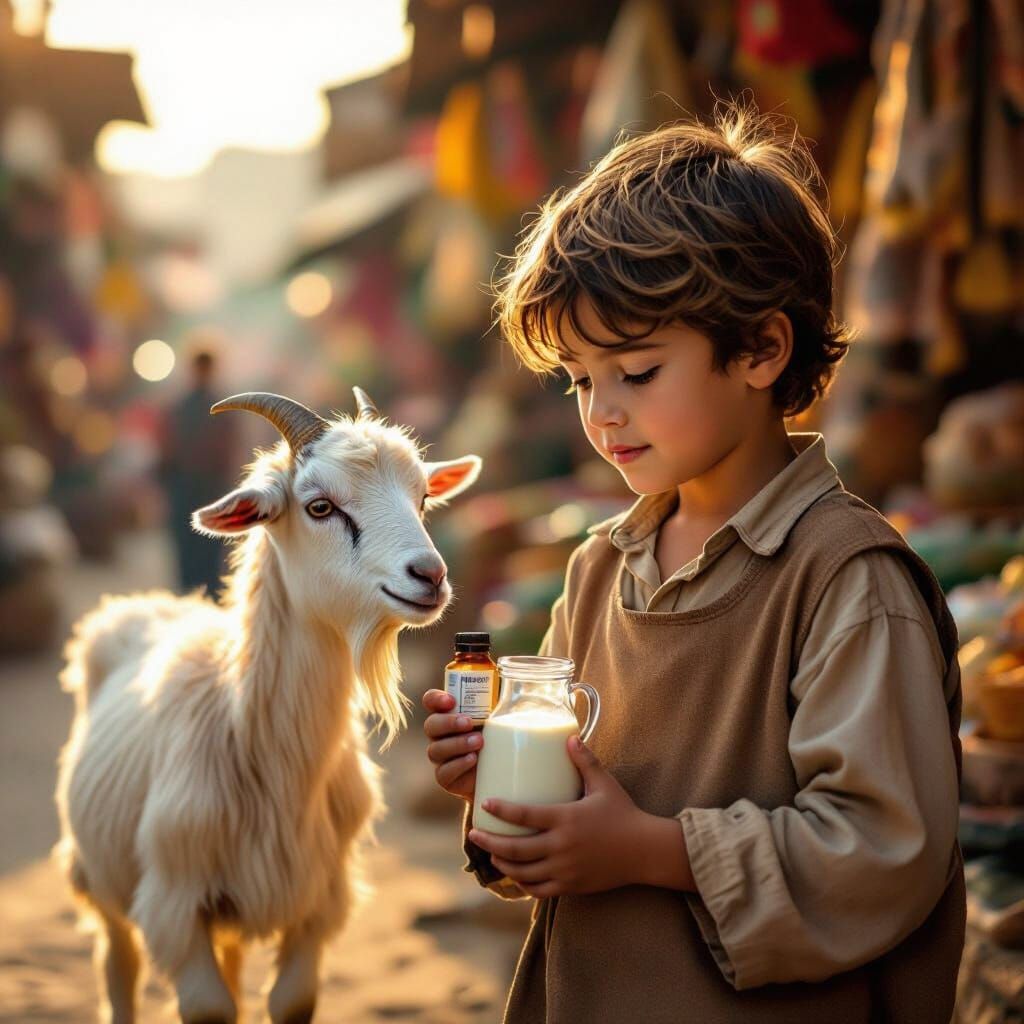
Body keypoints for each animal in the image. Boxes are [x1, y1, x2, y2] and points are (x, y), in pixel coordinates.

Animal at [55, 389, 481, 1024]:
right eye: (320, 506)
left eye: (423, 496)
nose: (429, 576)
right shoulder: (175, 904)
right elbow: (210, 1007)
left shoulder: (319, 902)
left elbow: (290, 1000)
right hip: (100, 878)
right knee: (119, 968)